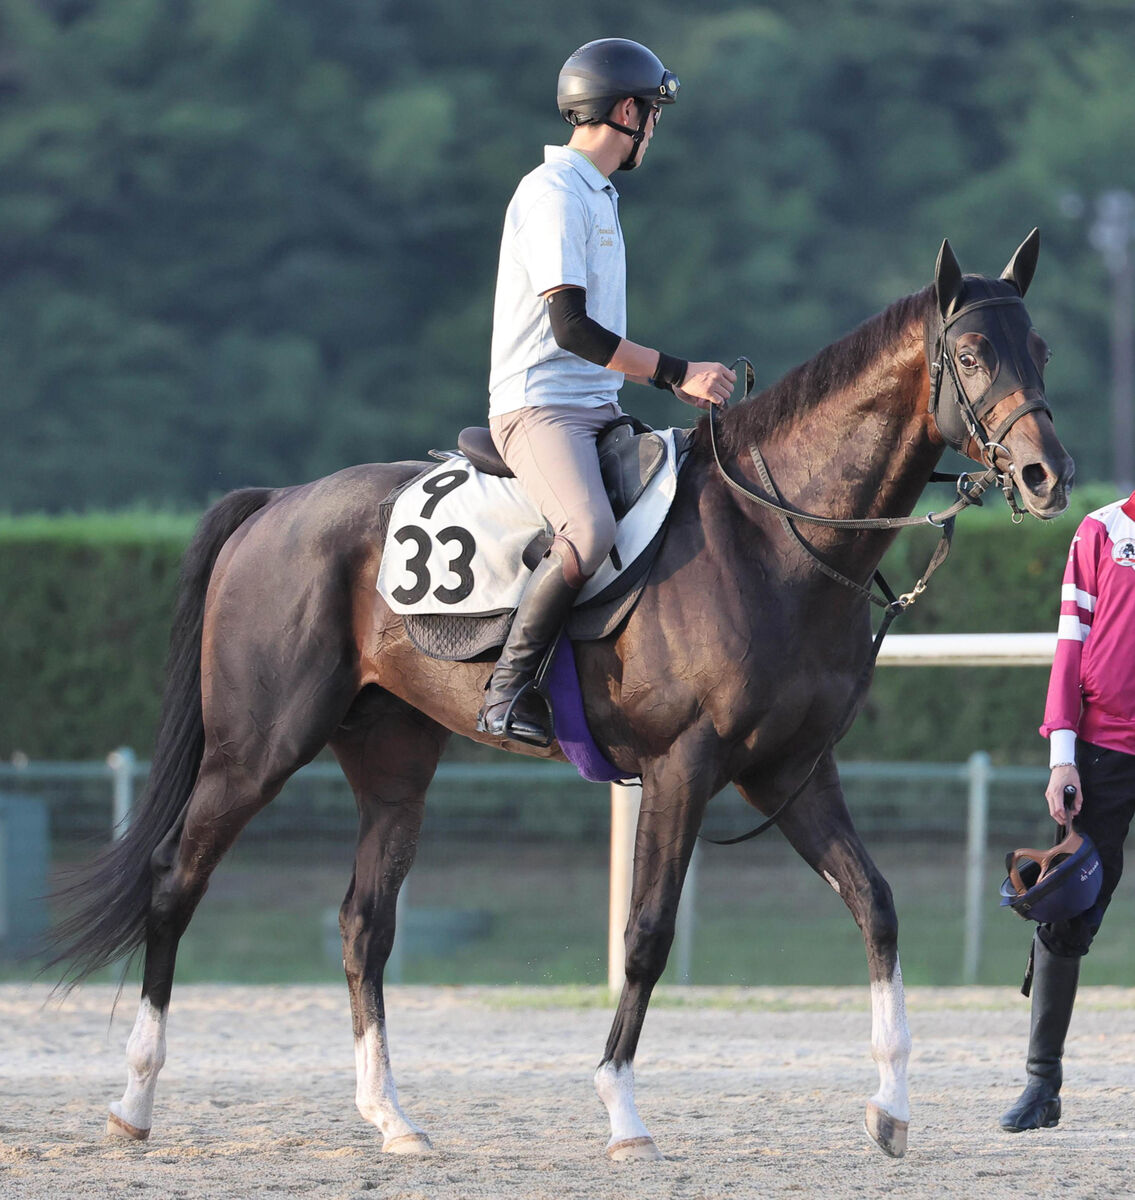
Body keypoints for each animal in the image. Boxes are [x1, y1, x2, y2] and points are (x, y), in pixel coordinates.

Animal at [55, 229, 1070, 1156]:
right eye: (970, 355)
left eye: (1041, 348)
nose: (1044, 475)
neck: (773, 537)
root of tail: (274, 505)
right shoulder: (682, 768)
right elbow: (647, 932)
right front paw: (622, 1112)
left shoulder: (791, 773)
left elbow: (877, 905)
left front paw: (891, 1104)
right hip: (254, 751)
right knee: (175, 881)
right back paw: (134, 1101)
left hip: (392, 764)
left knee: (363, 923)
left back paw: (392, 1118)